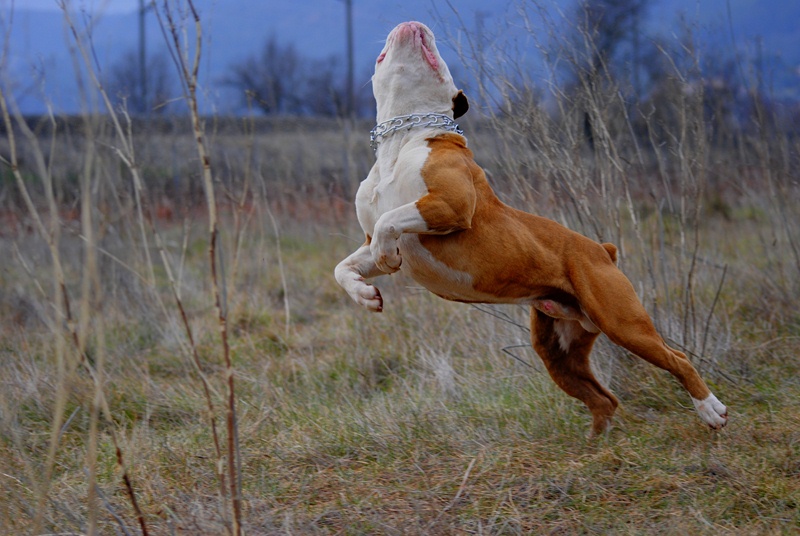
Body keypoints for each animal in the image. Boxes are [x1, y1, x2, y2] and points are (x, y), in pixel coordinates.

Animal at [334, 23, 728, 438]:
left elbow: (389, 222)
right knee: (603, 399)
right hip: (558, 350)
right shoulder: (368, 238)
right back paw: (594, 444)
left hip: (623, 323)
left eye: (439, 58)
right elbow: (344, 266)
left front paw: (387, 254)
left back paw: (711, 410)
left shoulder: (450, 205)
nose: (413, 24)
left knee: (677, 358)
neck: (401, 140)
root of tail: (603, 250)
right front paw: (365, 294)